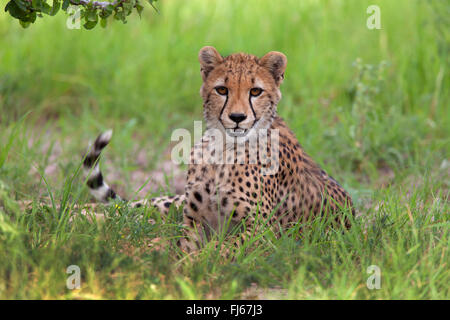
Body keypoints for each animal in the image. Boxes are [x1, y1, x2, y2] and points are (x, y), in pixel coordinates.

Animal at [82, 47, 354, 252]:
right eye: (222, 89)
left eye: (255, 91)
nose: (237, 117)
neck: (223, 148)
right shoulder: (194, 222)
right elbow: (181, 244)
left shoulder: (261, 231)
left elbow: (221, 249)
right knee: (129, 207)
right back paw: (77, 214)